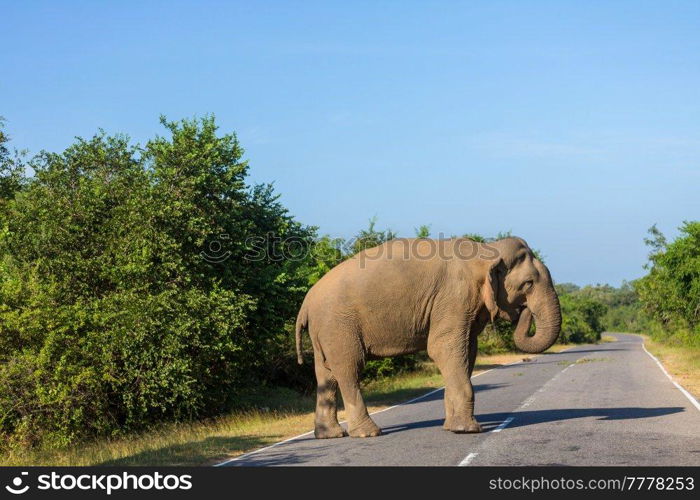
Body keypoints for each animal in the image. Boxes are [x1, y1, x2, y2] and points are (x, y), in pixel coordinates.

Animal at [296, 237, 564, 438]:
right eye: (528, 284)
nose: (525, 311)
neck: (486, 250)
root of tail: (306, 303)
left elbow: (468, 350)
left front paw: (452, 426)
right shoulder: (455, 296)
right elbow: (443, 348)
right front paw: (467, 430)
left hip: (325, 330)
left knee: (326, 375)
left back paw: (330, 435)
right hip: (339, 325)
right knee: (349, 369)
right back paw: (368, 433)